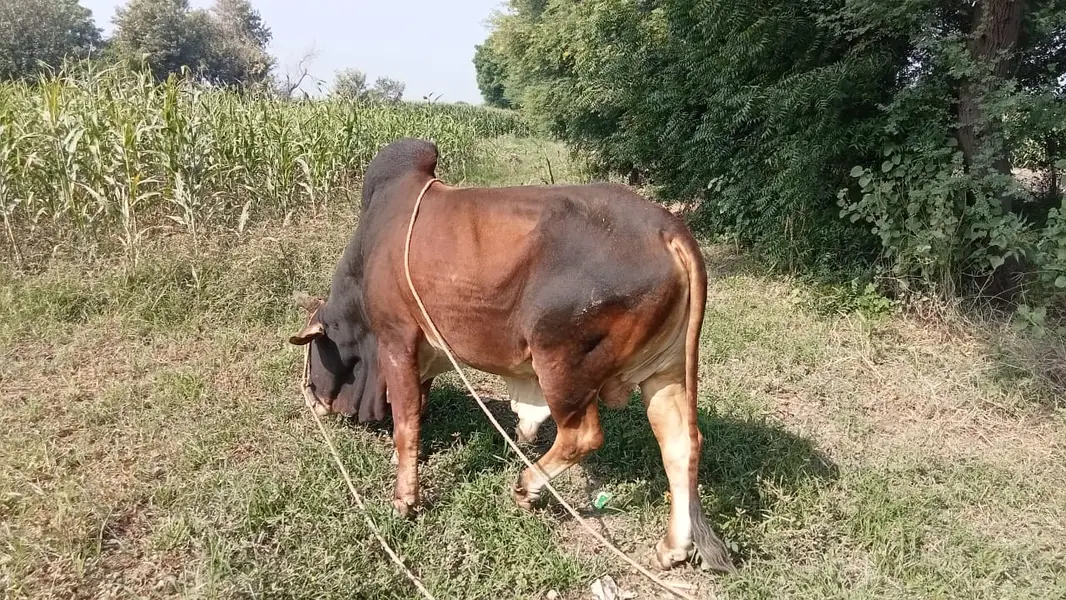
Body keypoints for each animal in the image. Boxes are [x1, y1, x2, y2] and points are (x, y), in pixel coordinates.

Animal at [288, 138, 735, 573]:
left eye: (313, 348)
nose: (312, 396)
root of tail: (668, 229)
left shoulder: (396, 339)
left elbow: (406, 425)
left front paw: (404, 501)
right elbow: (419, 406)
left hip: (562, 364)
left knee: (583, 435)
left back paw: (527, 486)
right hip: (665, 370)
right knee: (681, 443)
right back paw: (672, 548)